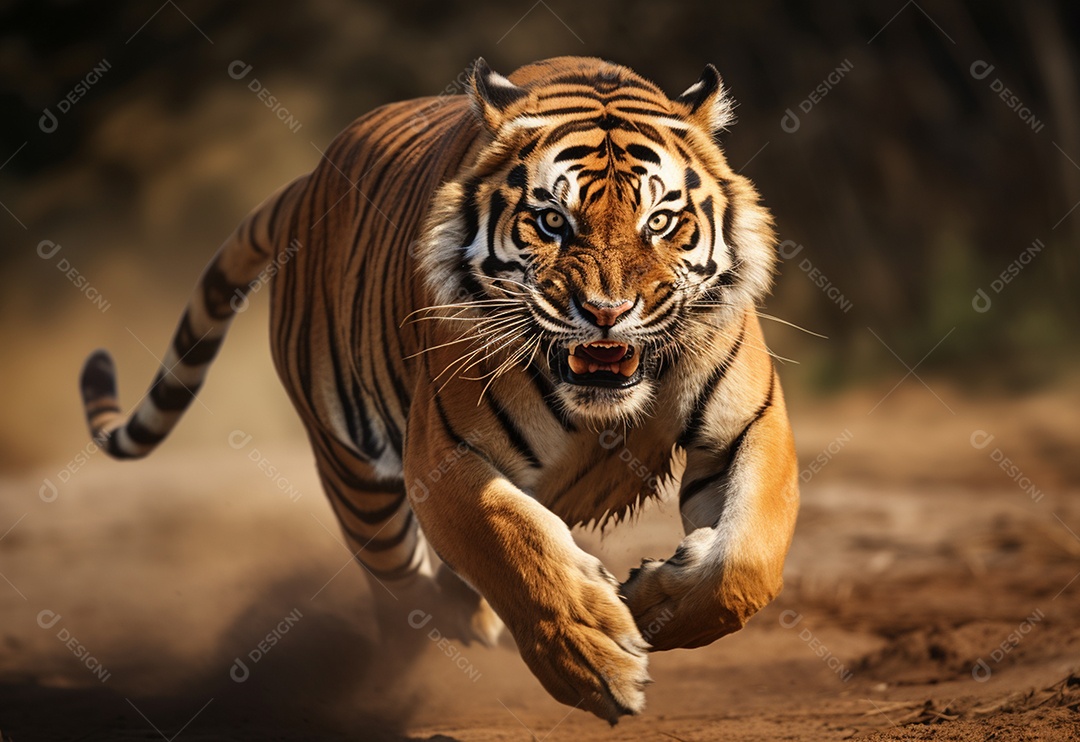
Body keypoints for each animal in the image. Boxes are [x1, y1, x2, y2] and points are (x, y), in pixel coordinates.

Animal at [78, 56, 799, 723]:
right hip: (357, 478)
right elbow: (512, 545)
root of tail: (309, 184)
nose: (607, 311)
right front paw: (595, 659)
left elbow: (746, 560)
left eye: (660, 222)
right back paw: (390, 690)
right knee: (404, 604)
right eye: (552, 221)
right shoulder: (445, 453)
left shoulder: (749, 424)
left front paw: (654, 602)